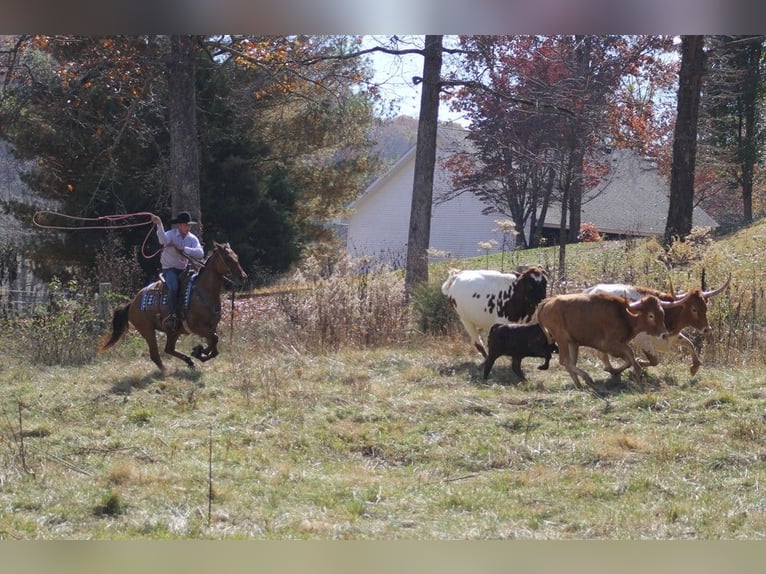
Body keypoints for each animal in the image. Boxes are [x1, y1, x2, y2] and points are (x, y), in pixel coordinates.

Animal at [103, 242, 249, 374]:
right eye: (228, 258)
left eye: (236, 257)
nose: (243, 277)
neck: (203, 292)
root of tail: (132, 304)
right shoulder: (197, 326)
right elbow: (214, 339)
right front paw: (199, 351)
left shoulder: (211, 326)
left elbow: (214, 345)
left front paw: (199, 352)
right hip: (147, 330)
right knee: (155, 353)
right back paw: (166, 371)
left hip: (174, 331)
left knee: (169, 349)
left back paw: (189, 361)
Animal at [536, 292, 692, 396]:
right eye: (650, 315)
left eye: (662, 313)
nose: (664, 334)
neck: (623, 315)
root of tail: (546, 303)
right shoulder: (609, 344)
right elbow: (629, 354)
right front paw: (638, 374)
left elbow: (628, 360)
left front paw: (616, 371)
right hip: (561, 338)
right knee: (564, 361)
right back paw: (587, 378)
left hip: (572, 342)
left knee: (570, 362)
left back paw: (579, 383)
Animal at [588, 278, 732, 378]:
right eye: (694, 309)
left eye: (705, 307)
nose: (707, 329)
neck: (667, 313)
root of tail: (591, 290)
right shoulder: (643, 341)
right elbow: (654, 361)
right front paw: (638, 362)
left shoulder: (673, 336)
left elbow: (690, 344)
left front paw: (694, 367)